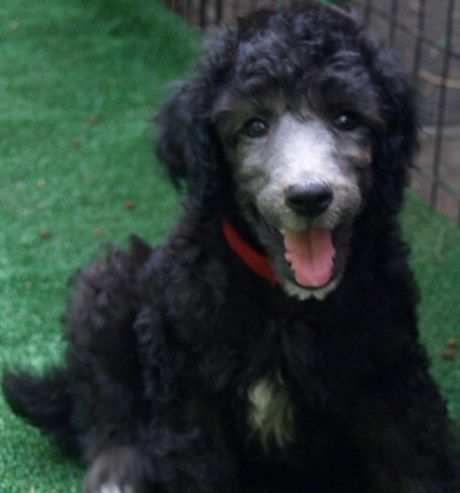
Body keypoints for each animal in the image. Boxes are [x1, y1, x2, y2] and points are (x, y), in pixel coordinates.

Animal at [3, 2, 459, 492]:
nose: (310, 196)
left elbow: (415, 461)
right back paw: (116, 473)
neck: (285, 303)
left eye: (346, 119)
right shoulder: (186, 387)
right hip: (107, 287)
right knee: (105, 403)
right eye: (254, 126)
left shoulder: (390, 373)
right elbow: (195, 465)